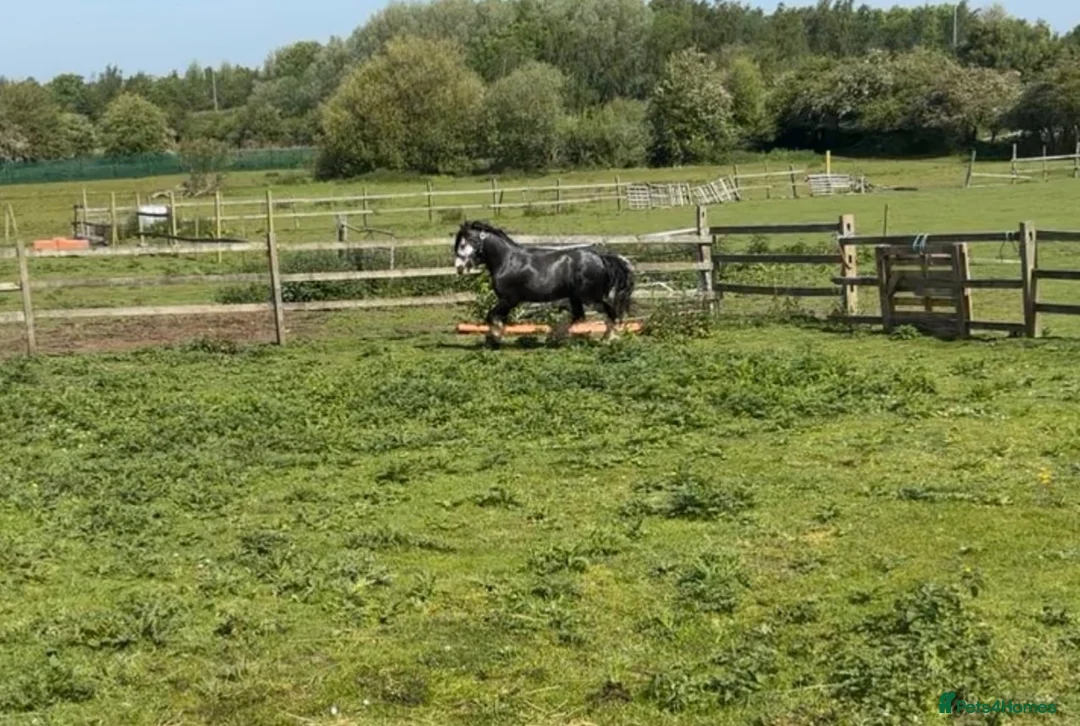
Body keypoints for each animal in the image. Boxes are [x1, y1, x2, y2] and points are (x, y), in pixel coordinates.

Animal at [452, 220, 635, 348]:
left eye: (463, 244)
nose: (459, 267)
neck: (507, 261)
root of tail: (601, 258)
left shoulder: (509, 300)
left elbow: (491, 316)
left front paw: (495, 338)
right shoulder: (507, 302)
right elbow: (498, 318)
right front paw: (492, 338)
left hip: (590, 297)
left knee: (610, 312)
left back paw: (609, 338)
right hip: (575, 297)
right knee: (578, 316)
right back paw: (554, 337)